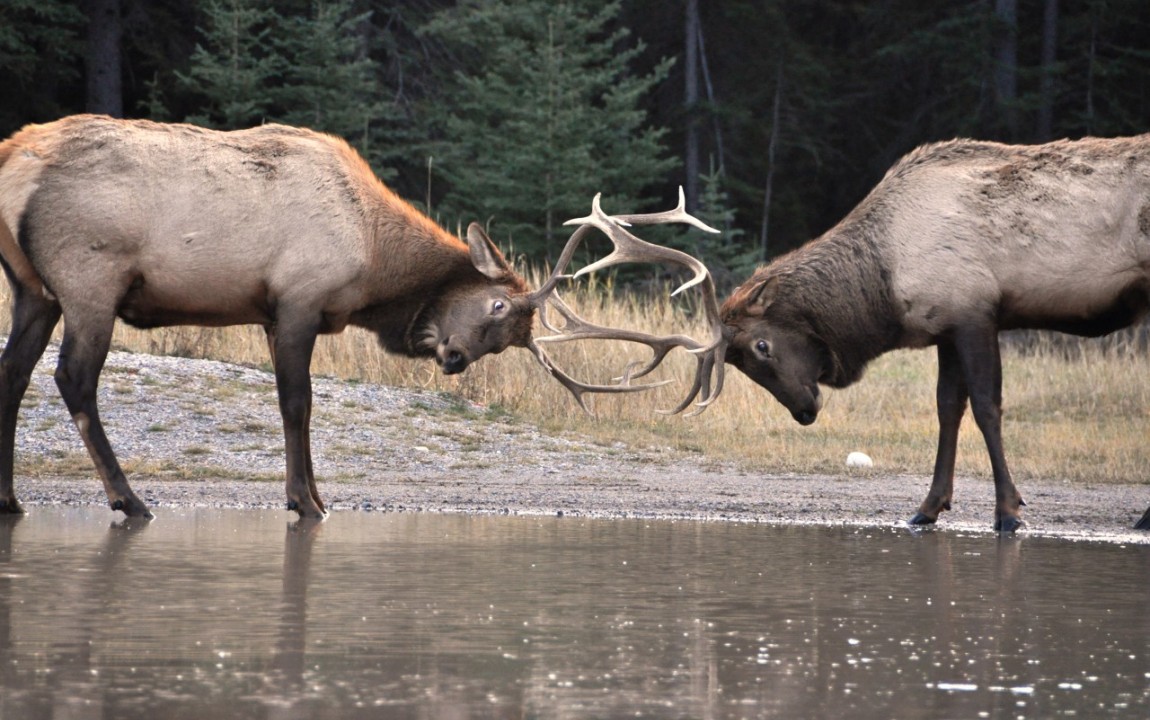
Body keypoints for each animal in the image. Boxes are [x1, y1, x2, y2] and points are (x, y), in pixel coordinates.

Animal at [0, 114, 726, 521]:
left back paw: (11, 498)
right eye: (497, 307)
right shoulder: (296, 299)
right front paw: (307, 501)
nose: (453, 358)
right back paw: (129, 500)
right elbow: (298, 402)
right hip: (89, 276)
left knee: (14, 374)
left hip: (33, 288)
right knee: (73, 379)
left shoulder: (279, 314)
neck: (373, 265)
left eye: (508, 341)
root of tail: (14, 163)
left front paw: (315, 494)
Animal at [707, 135, 1150, 532]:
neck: (884, 283)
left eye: (761, 345)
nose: (803, 411)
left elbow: (987, 408)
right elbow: (948, 409)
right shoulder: (947, 328)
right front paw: (929, 507)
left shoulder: (975, 314)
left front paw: (1008, 511)